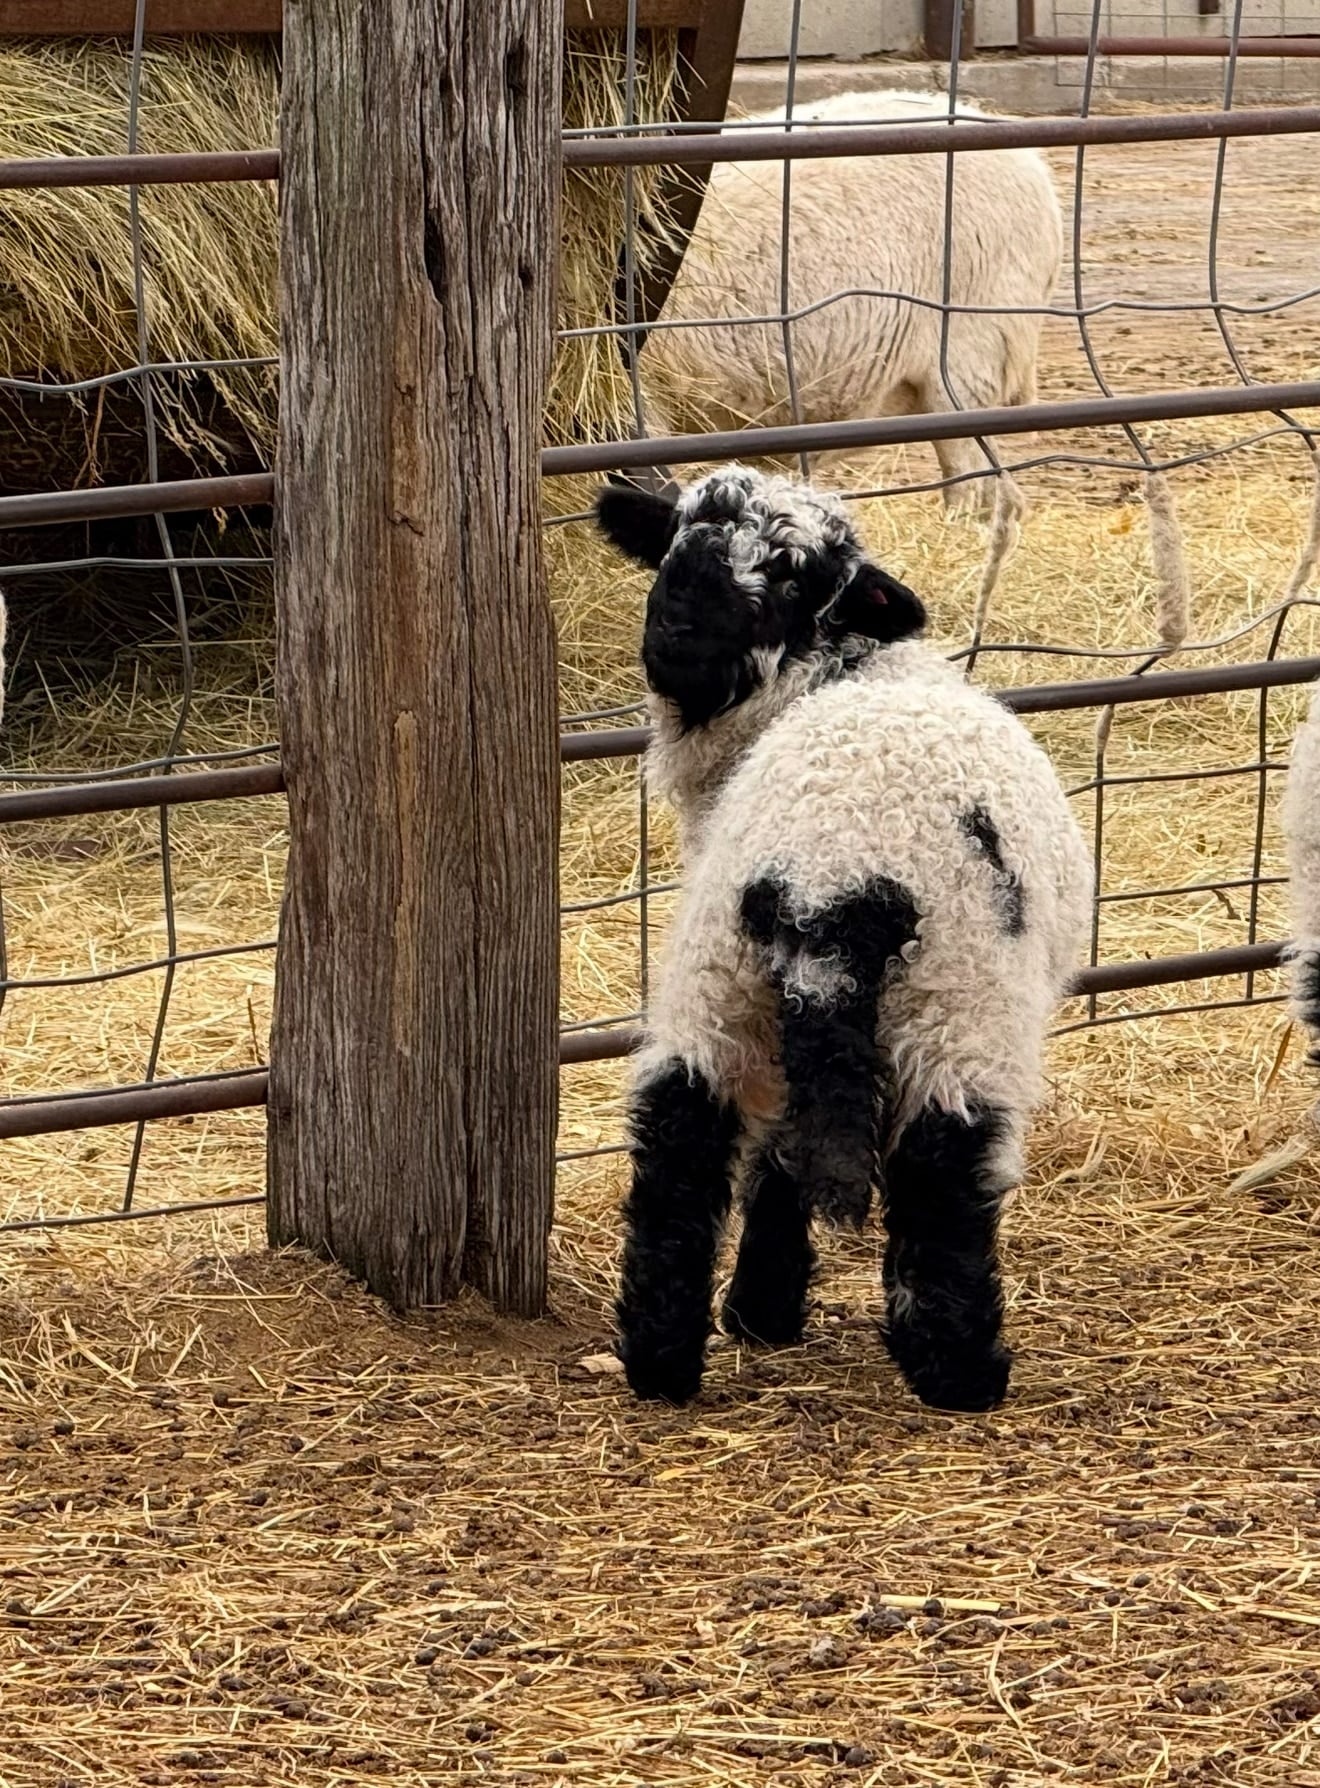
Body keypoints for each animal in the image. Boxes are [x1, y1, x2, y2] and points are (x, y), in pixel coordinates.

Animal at [593, 464, 1093, 1411]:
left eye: (792, 579)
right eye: (678, 536)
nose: (677, 628)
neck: (838, 672)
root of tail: (832, 859)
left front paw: (762, 1316)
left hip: (716, 980)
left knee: (681, 1140)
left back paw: (663, 1358)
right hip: (959, 999)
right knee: (944, 1167)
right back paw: (960, 1370)